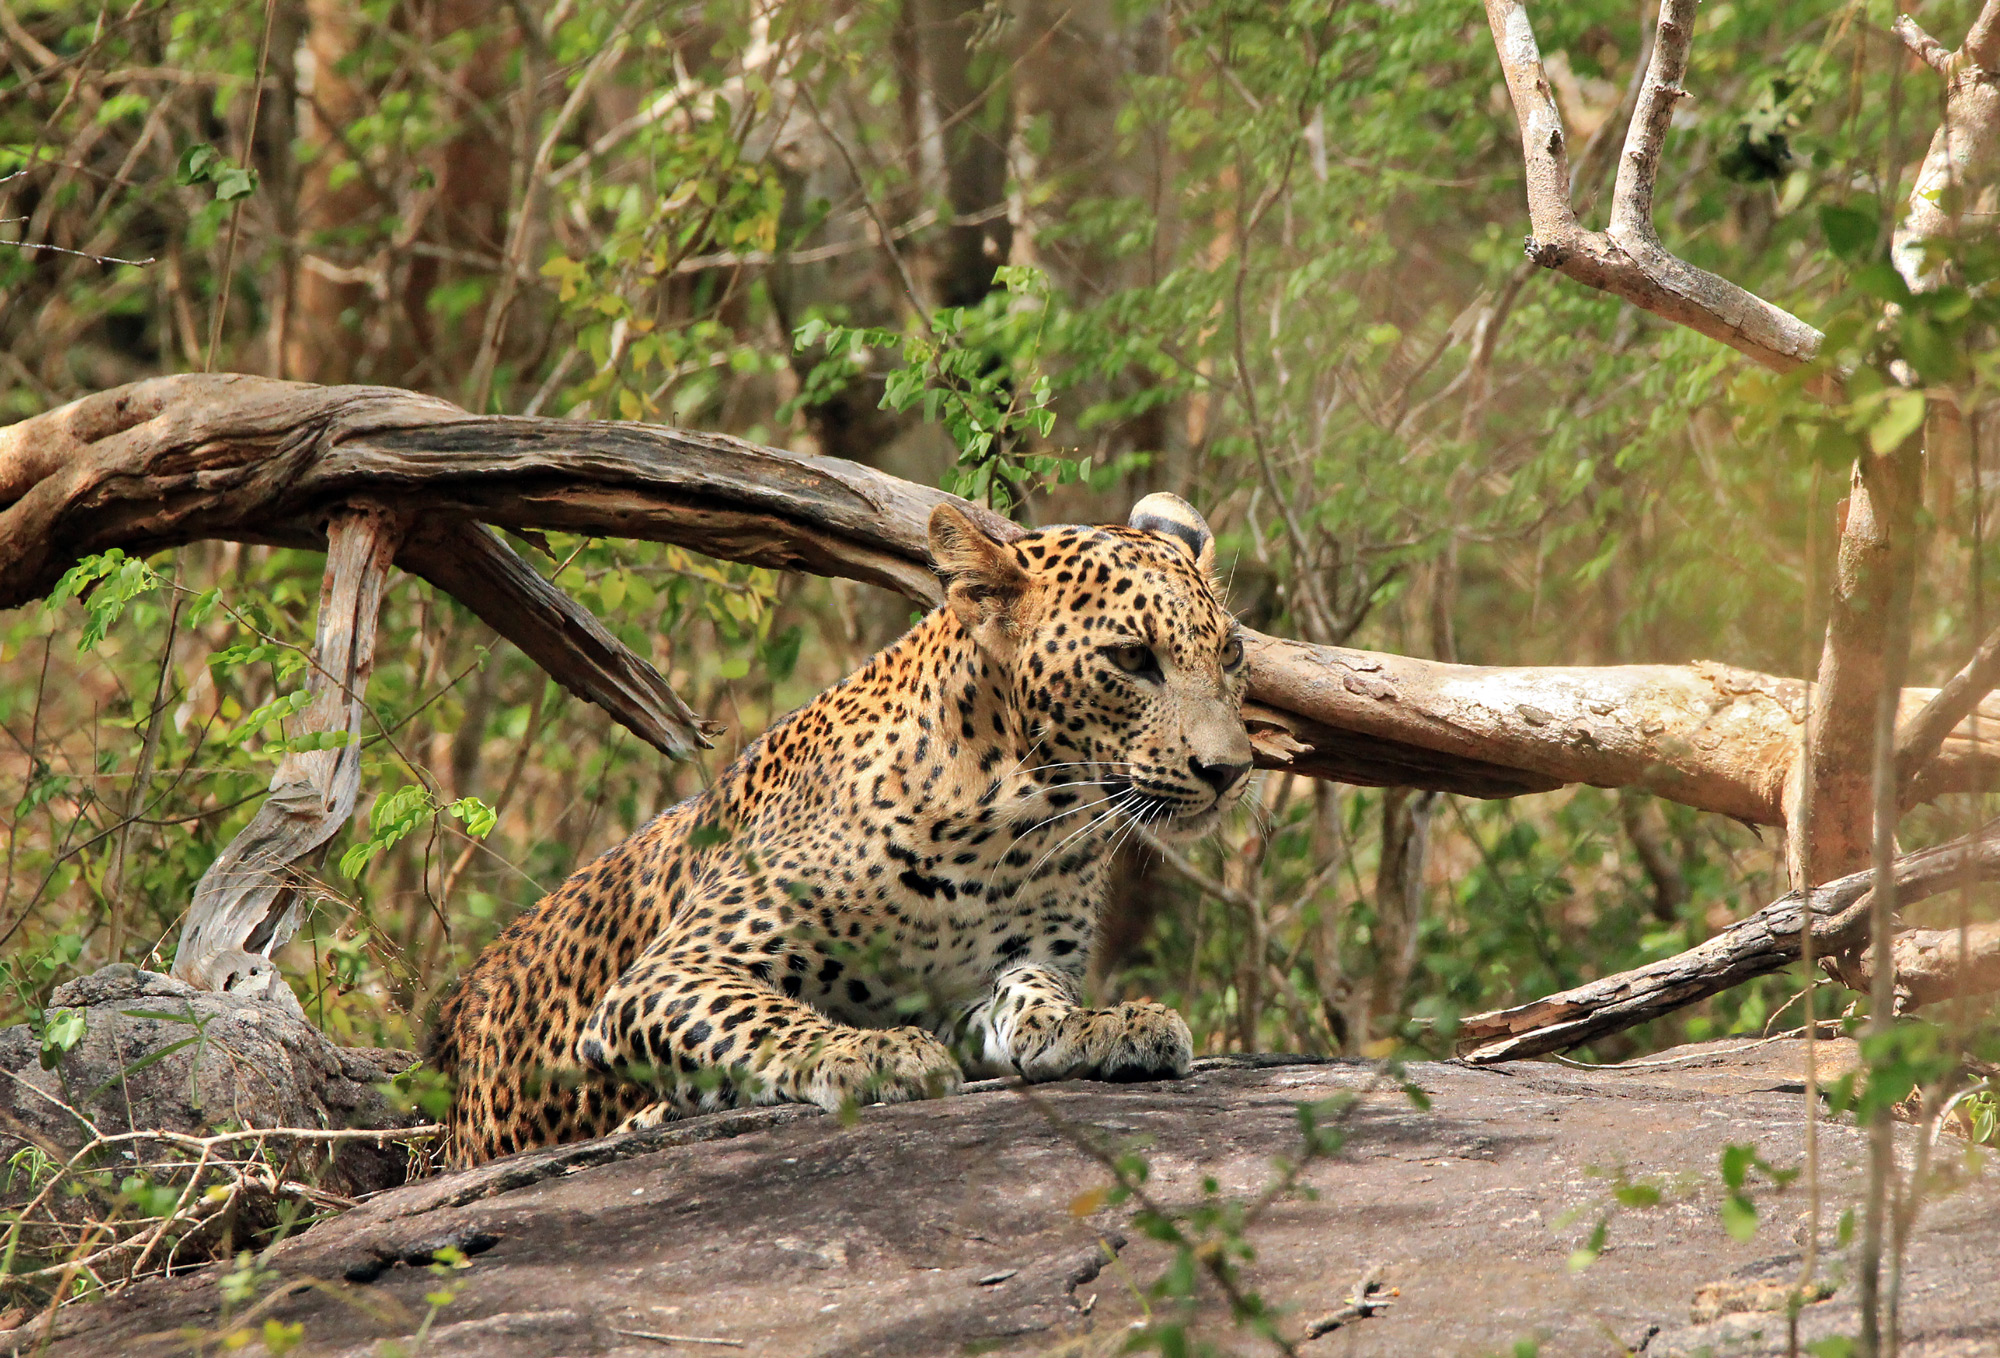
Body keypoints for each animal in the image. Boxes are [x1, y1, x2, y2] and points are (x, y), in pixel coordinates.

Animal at [436, 494, 1248, 1160]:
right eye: (1131, 657)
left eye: (1232, 653)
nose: (1230, 770)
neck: (1015, 825)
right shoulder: (670, 972)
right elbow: (760, 1017)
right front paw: (874, 1054)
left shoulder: (983, 980)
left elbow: (1031, 993)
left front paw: (1099, 1024)